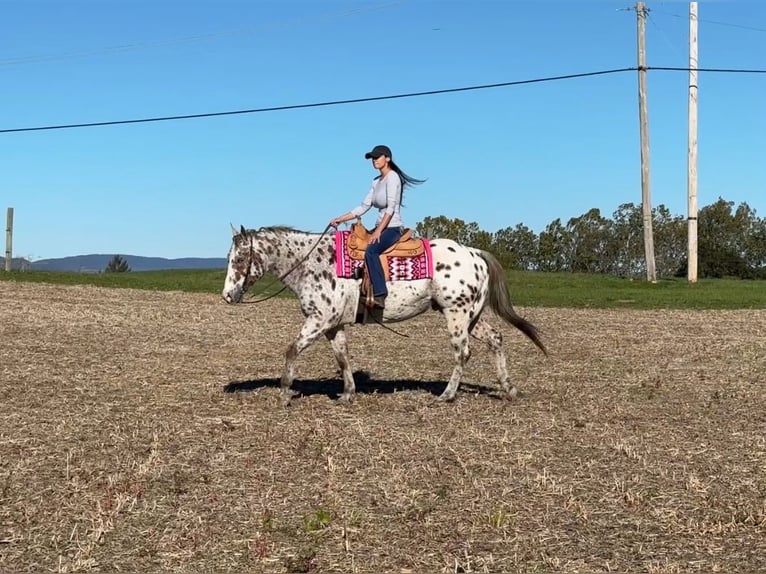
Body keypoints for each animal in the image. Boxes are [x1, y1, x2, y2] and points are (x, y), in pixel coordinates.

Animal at [221, 223, 547, 405]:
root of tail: (475, 254)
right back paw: (508, 389)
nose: (228, 295)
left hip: (456, 313)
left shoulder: (318, 321)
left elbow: (291, 350)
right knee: (496, 339)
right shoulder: (332, 325)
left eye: (239, 258)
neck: (314, 263)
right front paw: (348, 394)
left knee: (462, 353)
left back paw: (448, 395)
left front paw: (285, 392)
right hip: (472, 316)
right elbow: (342, 358)